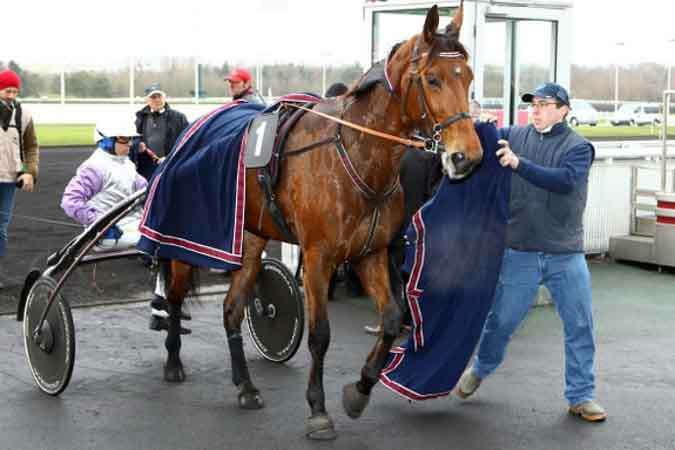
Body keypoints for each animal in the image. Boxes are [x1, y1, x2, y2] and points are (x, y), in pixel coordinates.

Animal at [161, 2, 484, 440]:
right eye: (432, 78)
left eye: (466, 76)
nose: (468, 156)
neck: (355, 153)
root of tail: (188, 132)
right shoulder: (318, 256)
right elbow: (319, 335)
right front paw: (318, 409)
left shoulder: (370, 253)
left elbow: (391, 319)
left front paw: (359, 390)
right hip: (187, 235)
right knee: (175, 294)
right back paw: (173, 361)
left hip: (249, 240)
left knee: (231, 308)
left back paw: (246, 386)